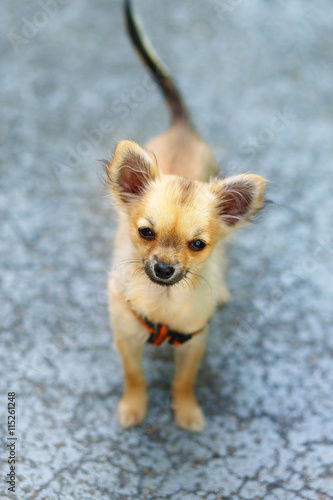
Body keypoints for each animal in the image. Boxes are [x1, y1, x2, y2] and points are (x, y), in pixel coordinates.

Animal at [105, 0, 266, 432]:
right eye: (145, 233)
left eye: (197, 245)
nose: (163, 269)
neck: (163, 303)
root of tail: (182, 126)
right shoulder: (126, 337)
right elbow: (135, 375)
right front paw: (134, 407)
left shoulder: (194, 342)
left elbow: (183, 381)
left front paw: (187, 411)